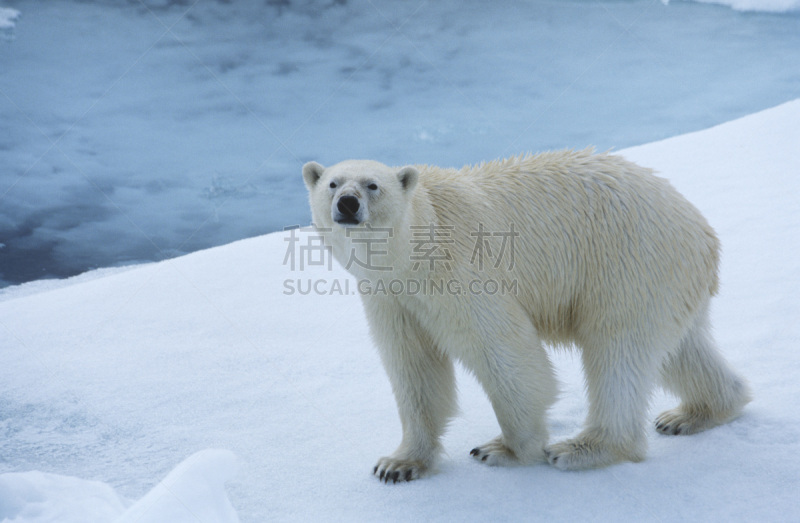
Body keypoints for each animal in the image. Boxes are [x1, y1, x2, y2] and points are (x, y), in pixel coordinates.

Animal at [300, 150, 752, 484]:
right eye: (332, 183)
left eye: (372, 185)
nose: (347, 204)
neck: (414, 252)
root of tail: (703, 234)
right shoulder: (391, 298)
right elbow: (414, 367)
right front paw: (398, 463)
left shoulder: (460, 274)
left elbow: (504, 351)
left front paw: (505, 449)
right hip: (666, 282)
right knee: (679, 350)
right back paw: (695, 412)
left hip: (628, 264)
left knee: (618, 351)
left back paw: (583, 448)